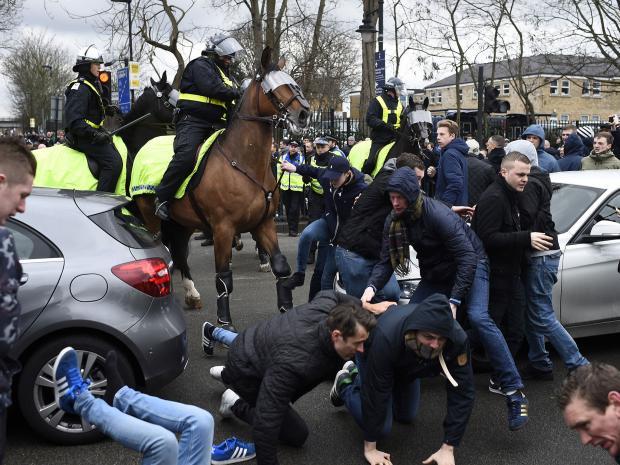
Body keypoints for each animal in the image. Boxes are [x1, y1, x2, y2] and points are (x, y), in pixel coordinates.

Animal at [136, 48, 310, 330]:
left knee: (179, 252)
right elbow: (223, 277)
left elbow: (281, 266)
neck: (243, 161)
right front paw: (224, 323)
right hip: (150, 218)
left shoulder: (264, 223)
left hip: (182, 222)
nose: (304, 114)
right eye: (275, 89)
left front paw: (286, 310)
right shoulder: (223, 228)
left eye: (294, 83)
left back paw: (191, 295)